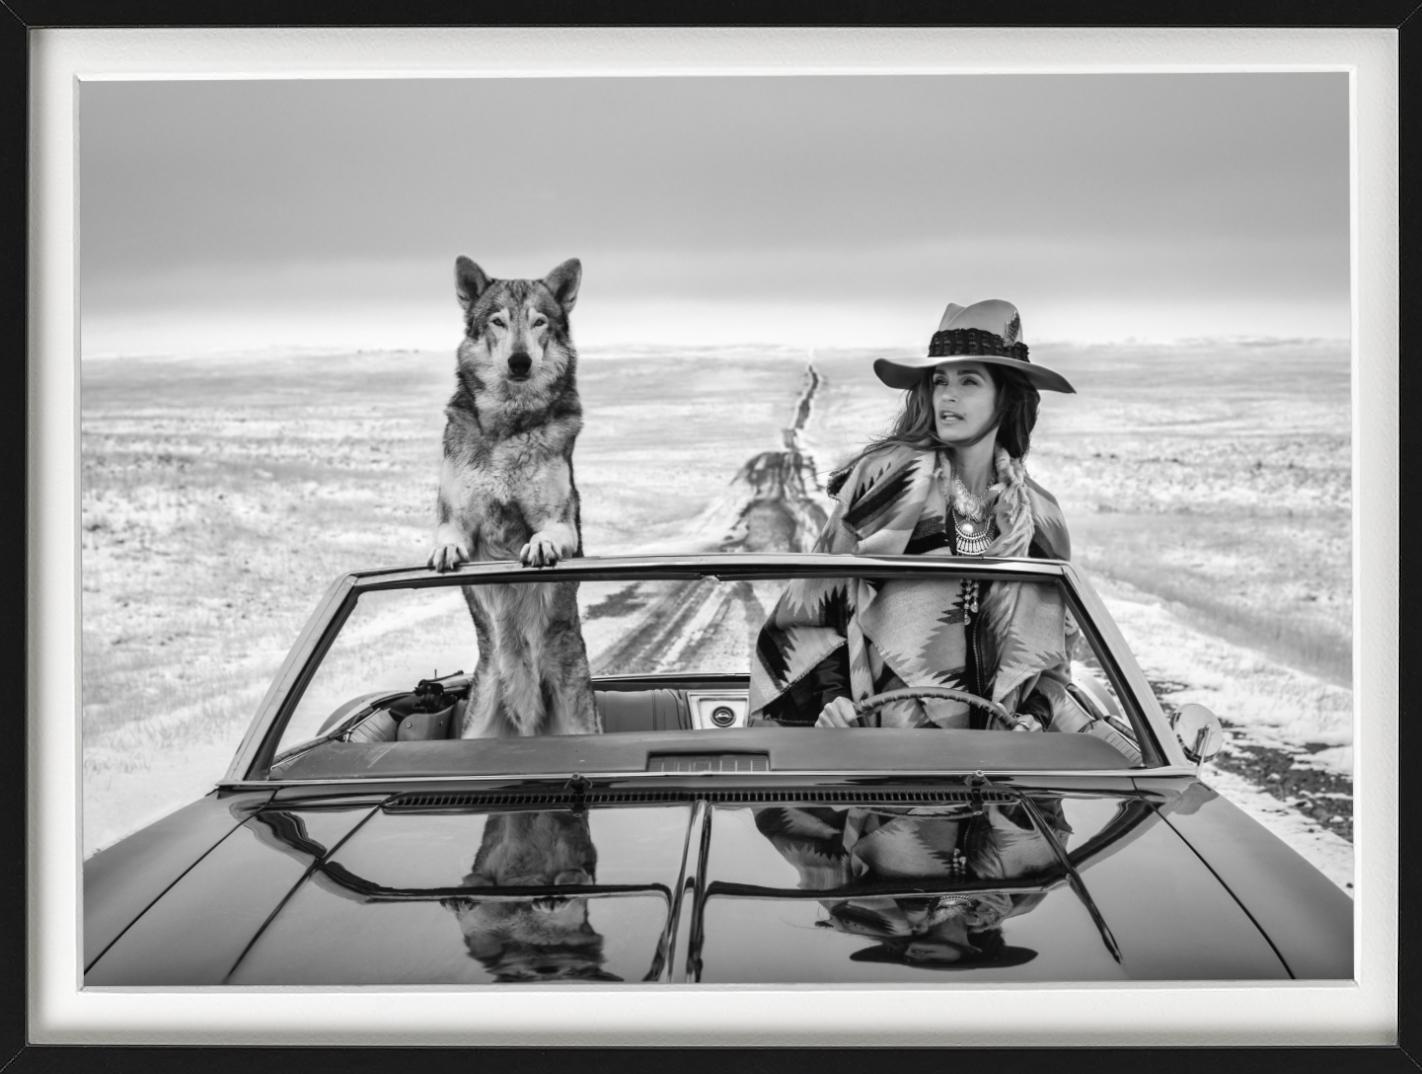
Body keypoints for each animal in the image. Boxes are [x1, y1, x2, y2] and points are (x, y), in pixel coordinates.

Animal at [428, 256, 601, 738]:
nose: (520, 361)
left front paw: (539, 547)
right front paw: (445, 550)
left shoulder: (562, 522)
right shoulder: (456, 517)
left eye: (539, 321)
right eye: (498, 321)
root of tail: (528, 721)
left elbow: (549, 534)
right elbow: (448, 535)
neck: (510, 425)